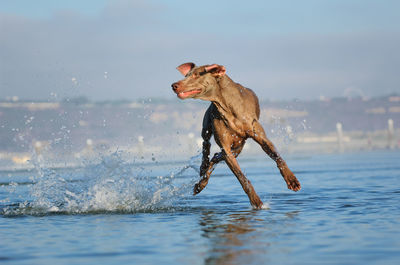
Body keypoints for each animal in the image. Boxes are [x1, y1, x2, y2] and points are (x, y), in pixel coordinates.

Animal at [172, 62, 300, 208]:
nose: (174, 85)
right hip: (208, 128)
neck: (226, 105)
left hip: (238, 147)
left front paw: (291, 179)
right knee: (207, 145)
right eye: (186, 75)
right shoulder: (226, 147)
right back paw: (202, 172)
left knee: (216, 156)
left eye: (196, 75)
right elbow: (240, 176)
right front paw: (256, 201)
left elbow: (278, 157)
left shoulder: (260, 137)